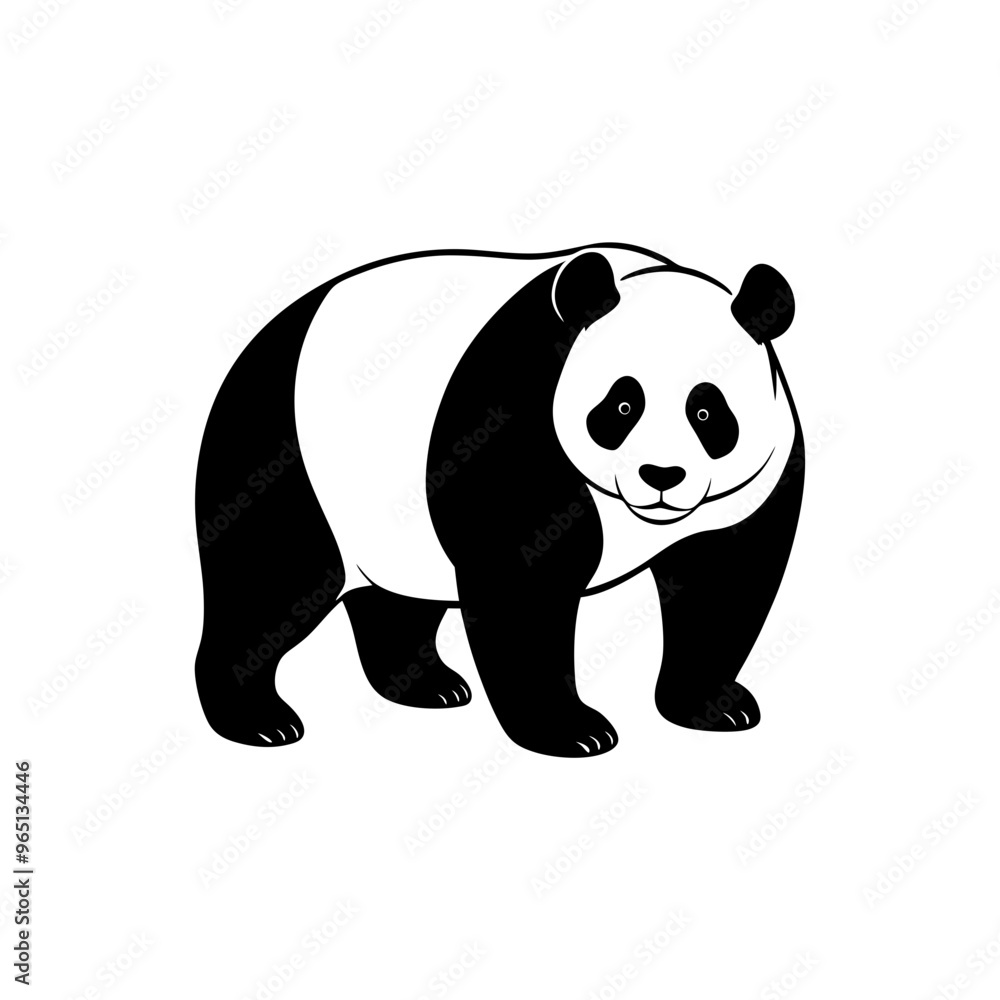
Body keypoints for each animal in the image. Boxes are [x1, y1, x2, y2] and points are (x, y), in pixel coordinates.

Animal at [194, 243, 803, 757]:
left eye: (707, 411)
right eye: (623, 405)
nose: (662, 475)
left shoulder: (749, 488)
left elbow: (724, 582)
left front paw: (713, 706)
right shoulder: (516, 429)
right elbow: (521, 585)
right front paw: (571, 730)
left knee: (396, 603)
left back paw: (428, 686)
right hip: (285, 463)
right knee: (270, 583)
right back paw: (259, 720)